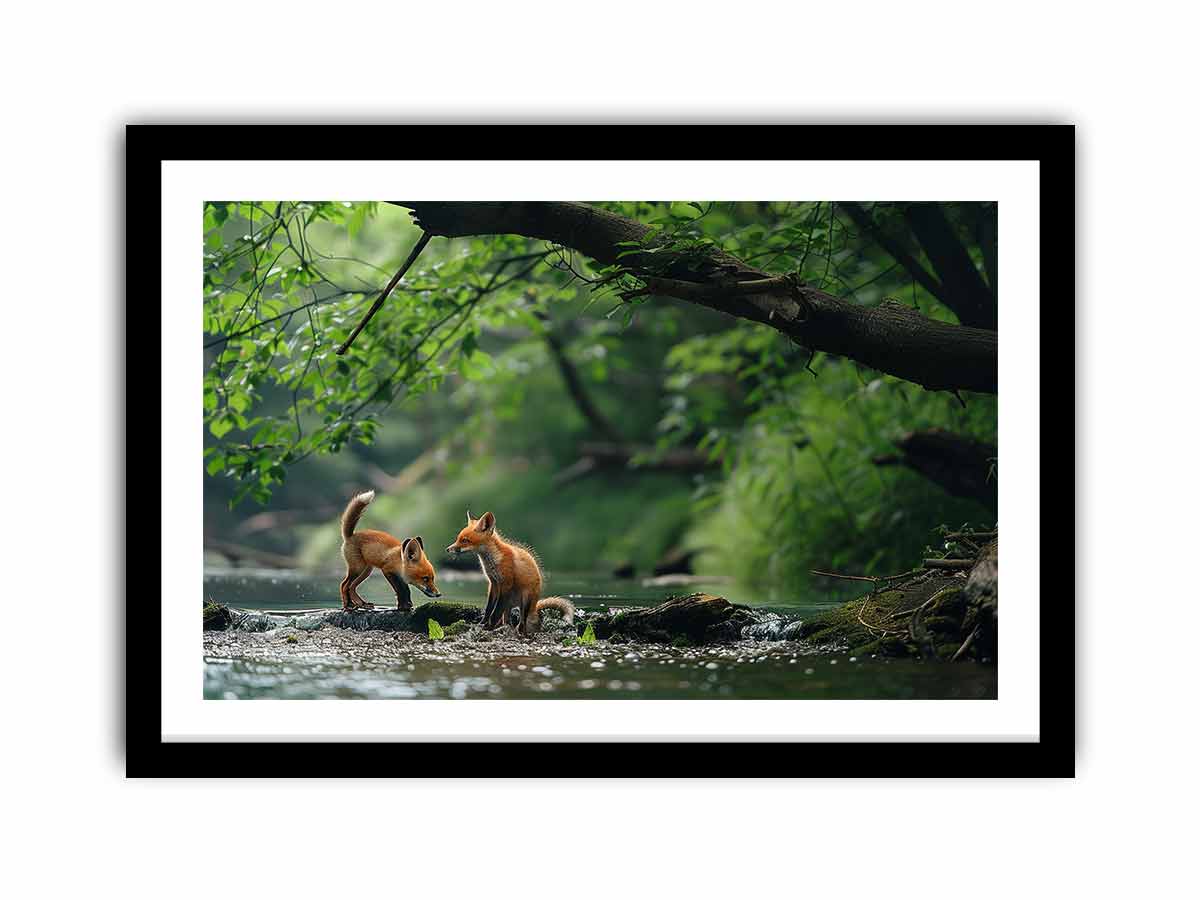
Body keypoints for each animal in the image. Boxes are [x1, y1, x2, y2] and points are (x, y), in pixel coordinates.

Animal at [446, 510, 575, 636]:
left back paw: (519, 632)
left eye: (465, 540)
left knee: (522, 622)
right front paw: (482, 623)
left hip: (525, 600)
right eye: (458, 539)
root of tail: (535, 604)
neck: (494, 561)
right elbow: (488, 609)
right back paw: (504, 628)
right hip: (509, 605)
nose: (447, 549)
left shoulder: (506, 584)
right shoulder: (493, 583)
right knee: (507, 621)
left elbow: (495, 612)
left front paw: (487, 627)